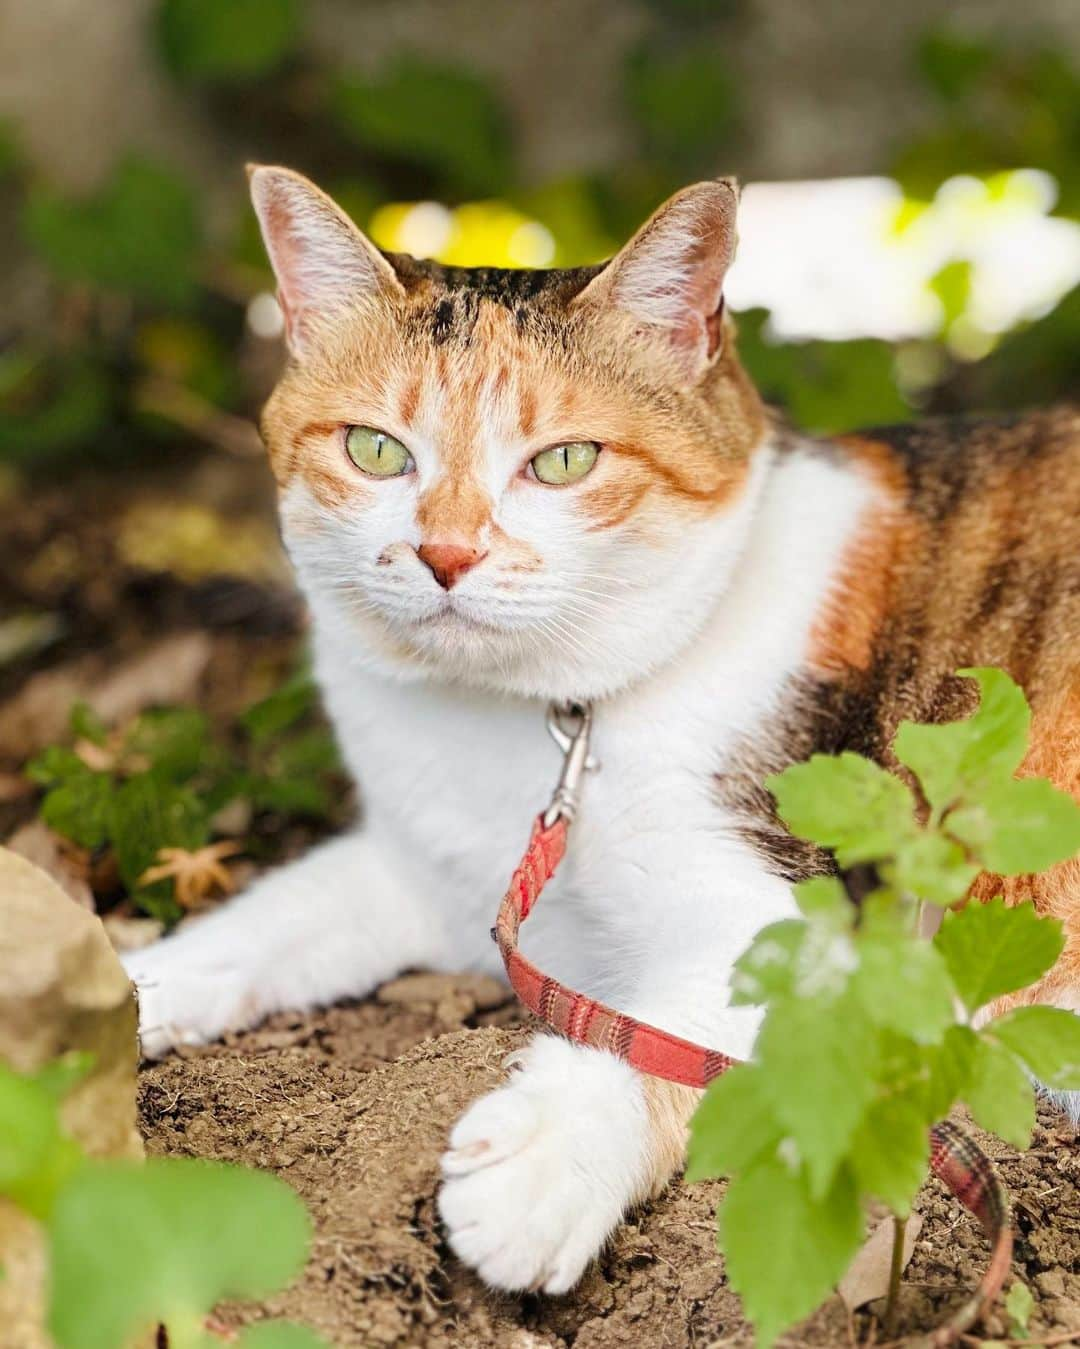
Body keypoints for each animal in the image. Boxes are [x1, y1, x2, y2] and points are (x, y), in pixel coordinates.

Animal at [126, 168, 1078, 1295]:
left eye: (565, 462)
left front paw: (545, 1159)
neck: (527, 717)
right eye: (375, 450)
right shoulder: (427, 876)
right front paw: (114, 990)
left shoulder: (818, 925)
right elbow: (267, 919)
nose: (446, 553)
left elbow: (658, 1037)